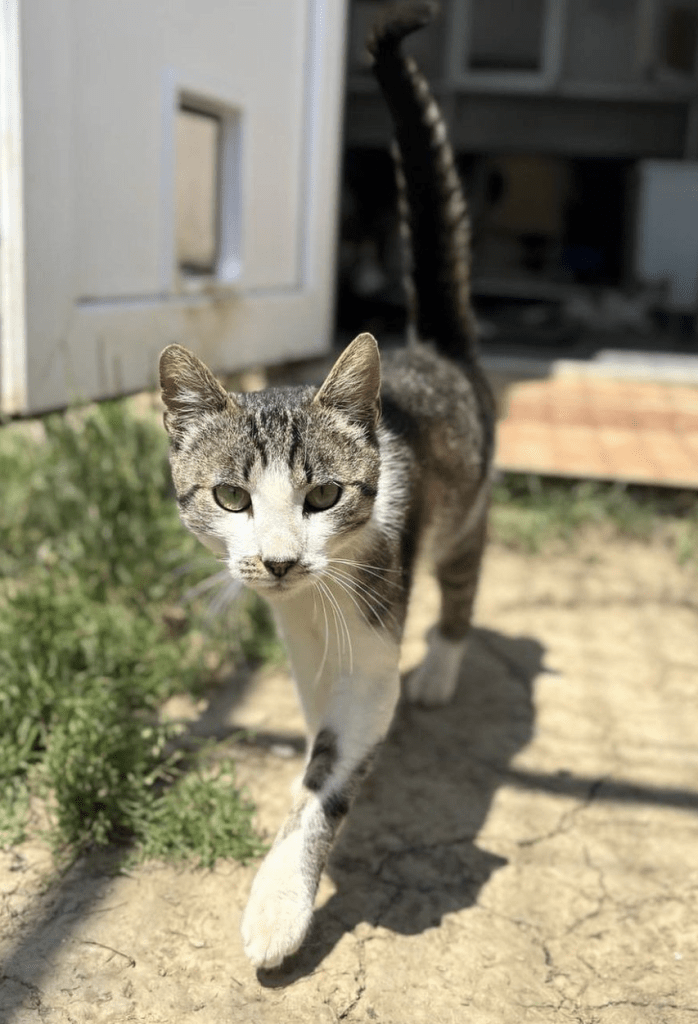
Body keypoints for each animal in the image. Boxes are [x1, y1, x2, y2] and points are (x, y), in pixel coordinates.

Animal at [157, 0, 495, 970]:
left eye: (323, 497)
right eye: (232, 498)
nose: (276, 561)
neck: (314, 601)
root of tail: (435, 349)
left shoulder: (370, 654)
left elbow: (328, 777)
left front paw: (280, 902)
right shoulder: (304, 642)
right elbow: (313, 726)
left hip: (469, 516)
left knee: (463, 585)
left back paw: (443, 667)